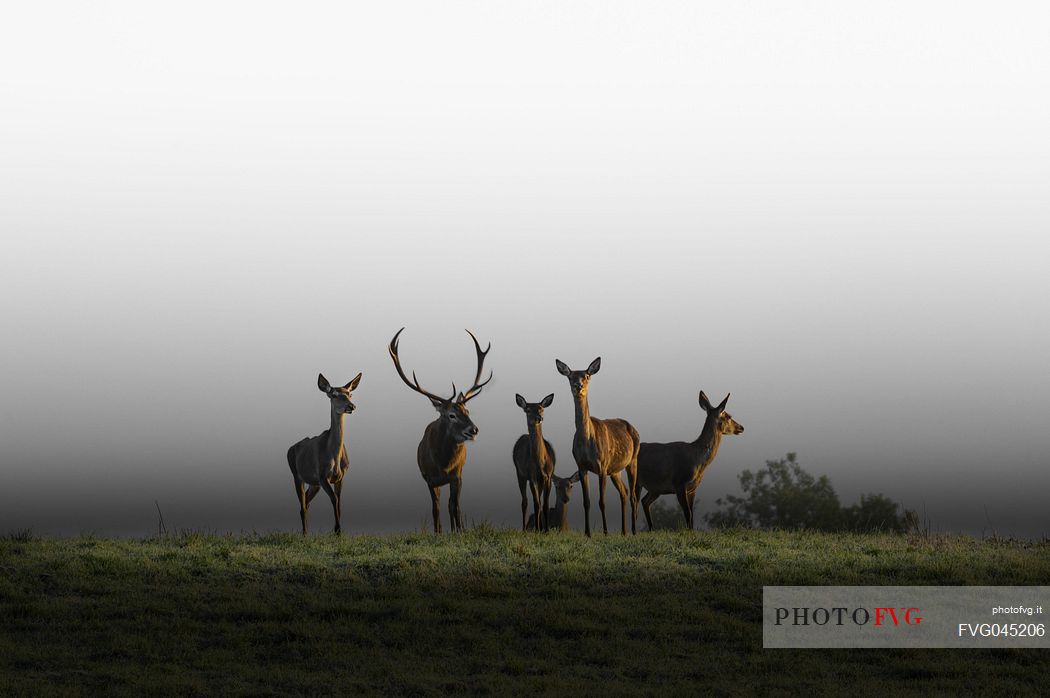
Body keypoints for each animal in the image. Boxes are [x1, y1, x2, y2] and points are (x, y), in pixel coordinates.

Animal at [287, 373, 365, 535]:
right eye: (334, 395)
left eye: (350, 394)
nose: (351, 406)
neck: (334, 455)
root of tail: (290, 448)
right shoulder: (323, 476)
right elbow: (334, 499)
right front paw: (337, 530)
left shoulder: (340, 477)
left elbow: (339, 502)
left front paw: (338, 531)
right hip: (297, 476)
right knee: (302, 506)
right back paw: (304, 534)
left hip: (314, 483)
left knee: (306, 503)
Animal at [390, 327, 491, 533]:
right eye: (451, 415)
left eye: (467, 411)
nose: (474, 429)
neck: (443, 464)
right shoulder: (429, 479)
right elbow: (435, 509)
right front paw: (438, 533)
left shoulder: (457, 475)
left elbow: (456, 507)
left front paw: (460, 532)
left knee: (452, 505)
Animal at [510, 392, 554, 529]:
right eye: (528, 410)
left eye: (541, 409)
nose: (539, 418)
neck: (540, 462)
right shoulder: (532, 476)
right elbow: (536, 504)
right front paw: (538, 529)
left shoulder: (548, 476)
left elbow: (545, 504)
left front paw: (546, 530)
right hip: (520, 474)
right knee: (525, 502)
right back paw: (525, 529)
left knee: (538, 500)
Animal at [554, 356, 642, 535]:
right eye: (570, 377)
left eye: (587, 376)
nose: (578, 386)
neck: (587, 442)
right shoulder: (582, 466)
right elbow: (586, 501)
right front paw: (588, 533)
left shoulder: (602, 465)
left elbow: (602, 501)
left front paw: (606, 532)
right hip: (615, 470)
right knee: (624, 492)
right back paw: (623, 531)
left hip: (633, 460)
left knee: (633, 495)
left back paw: (633, 531)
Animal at [630, 392, 747, 529]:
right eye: (728, 416)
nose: (741, 427)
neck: (697, 460)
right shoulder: (679, 482)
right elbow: (687, 513)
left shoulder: (692, 488)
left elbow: (691, 516)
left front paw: (691, 531)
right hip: (637, 480)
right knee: (634, 502)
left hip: (656, 488)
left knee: (645, 501)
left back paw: (651, 529)